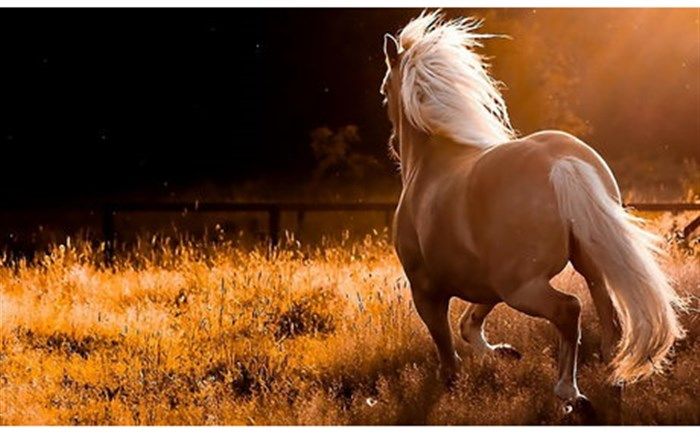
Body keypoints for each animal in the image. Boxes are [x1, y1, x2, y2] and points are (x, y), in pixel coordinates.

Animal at [380, 11, 685, 417]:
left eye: (385, 91)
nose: (393, 147)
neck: (430, 165)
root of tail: (561, 163)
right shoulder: (488, 284)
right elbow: (468, 324)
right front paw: (504, 353)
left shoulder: (427, 291)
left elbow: (447, 352)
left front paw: (451, 388)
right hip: (586, 269)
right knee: (611, 324)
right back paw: (613, 381)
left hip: (523, 289)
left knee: (569, 310)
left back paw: (572, 394)